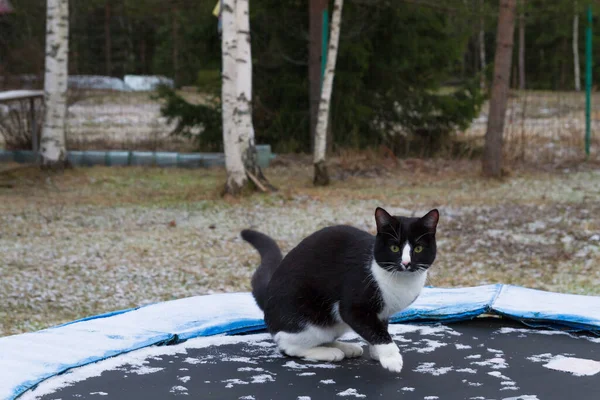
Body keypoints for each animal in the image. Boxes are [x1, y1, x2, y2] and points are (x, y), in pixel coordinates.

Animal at [241, 208, 438, 374]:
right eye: (394, 248)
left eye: (418, 248)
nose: (406, 263)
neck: (401, 281)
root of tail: (268, 297)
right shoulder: (353, 307)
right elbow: (375, 330)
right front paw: (391, 357)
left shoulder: (381, 313)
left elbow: (377, 328)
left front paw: (377, 352)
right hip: (307, 319)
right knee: (289, 345)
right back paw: (329, 353)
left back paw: (346, 347)